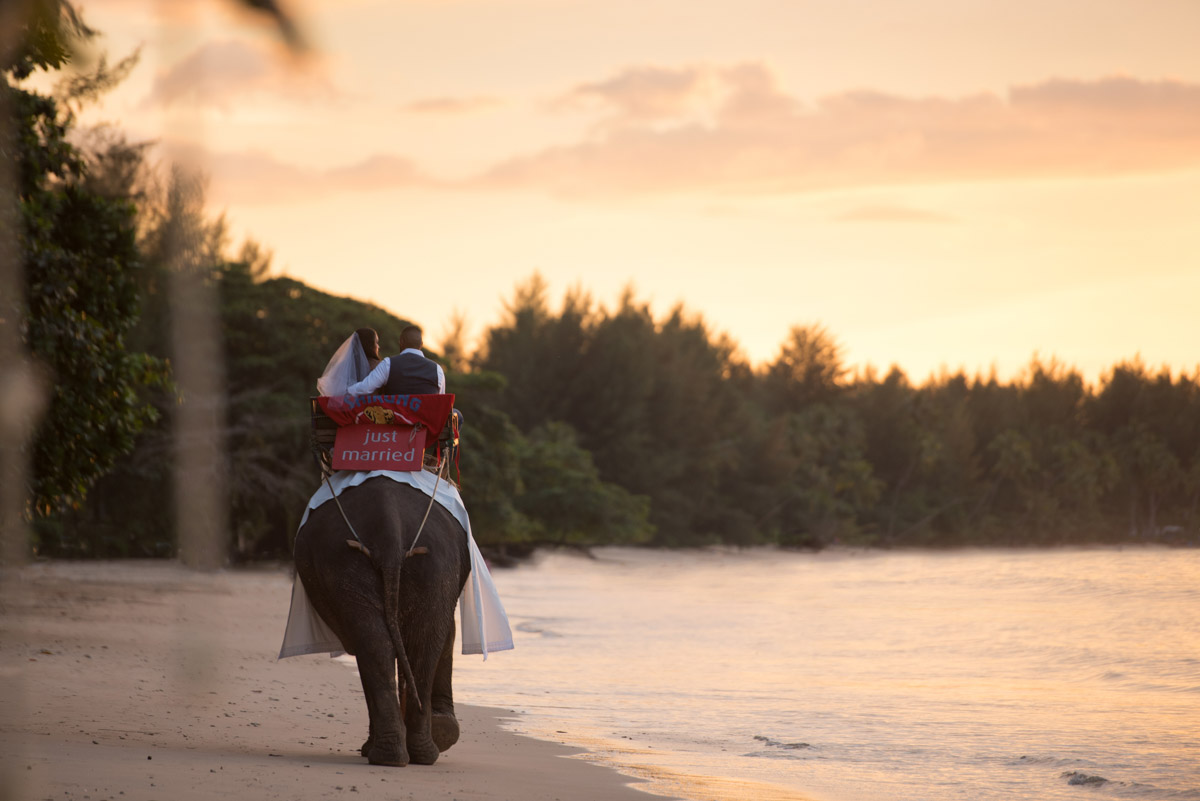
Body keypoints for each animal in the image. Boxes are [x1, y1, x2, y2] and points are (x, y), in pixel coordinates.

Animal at [292, 472, 470, 767]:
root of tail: (390, 526)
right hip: (424, 563)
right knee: (405, 644)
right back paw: (411, 753)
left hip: (358, 561)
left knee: (385, 644)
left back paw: (397, 754)